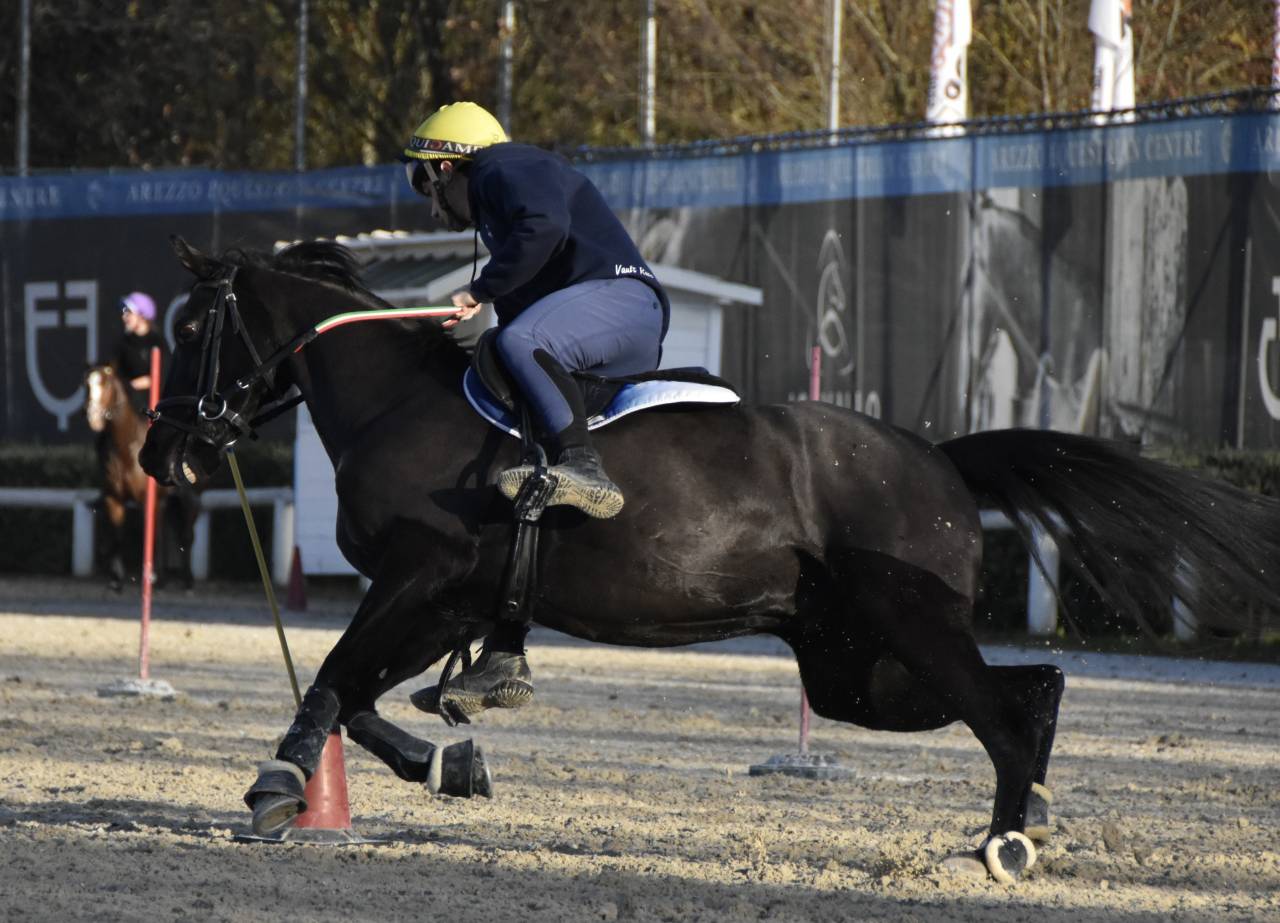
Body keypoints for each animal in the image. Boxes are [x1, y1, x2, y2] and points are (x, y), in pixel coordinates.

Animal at [84, 363, 199, 591]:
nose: (93, 417)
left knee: (186, 533)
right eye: (86, 385)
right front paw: (116, 578)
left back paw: (187, 581)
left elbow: (151, 535)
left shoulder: (148, 499)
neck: (125, 447)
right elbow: (118, 535)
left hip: (191, 496)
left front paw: (150, 576)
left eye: (105, 384)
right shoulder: (113, 499)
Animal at [140, 237, 1280, 883]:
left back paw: (1006, 838)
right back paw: (1026, 818)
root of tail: (935, 456)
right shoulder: (445, 601)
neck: (401, 399)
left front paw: (280, 781)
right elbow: (367, 699)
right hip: (853, 665)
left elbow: (336, 678)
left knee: (1002, 710)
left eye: (193, 329)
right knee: (1033, 685)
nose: (161, 455)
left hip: (901, 632)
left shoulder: (420, 581)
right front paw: (448, 762)